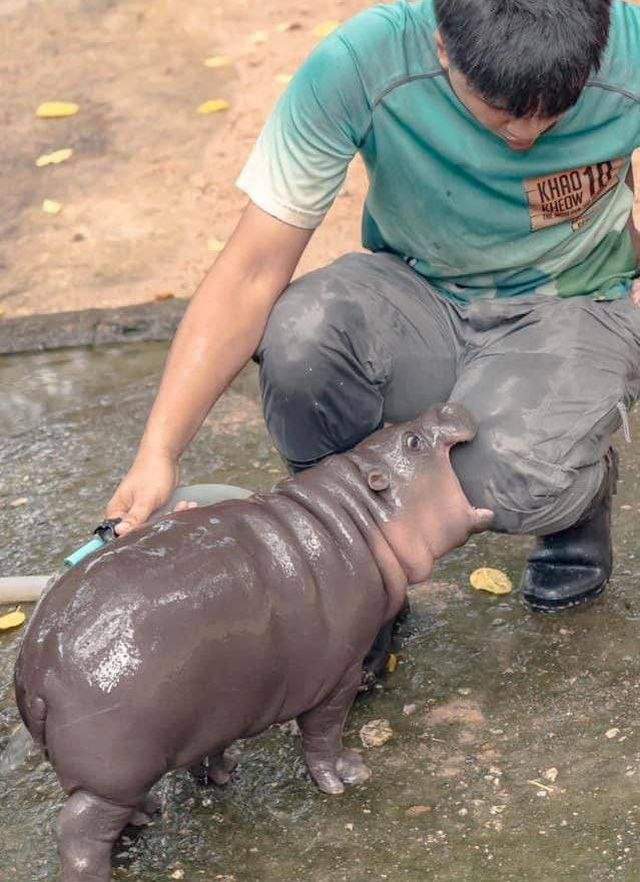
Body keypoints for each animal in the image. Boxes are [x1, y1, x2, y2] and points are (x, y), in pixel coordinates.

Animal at [16, 404, 496, 880]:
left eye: (395, 428)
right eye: (413, 442)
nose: (448, 405)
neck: (359, 515)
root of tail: (33, 669)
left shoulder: (220, 705)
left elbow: (213, 745)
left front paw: (223, 772)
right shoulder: (338, 676)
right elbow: (323, 734)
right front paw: (346, 776)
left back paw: (149, 811)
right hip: (111, 773)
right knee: (77, 831)